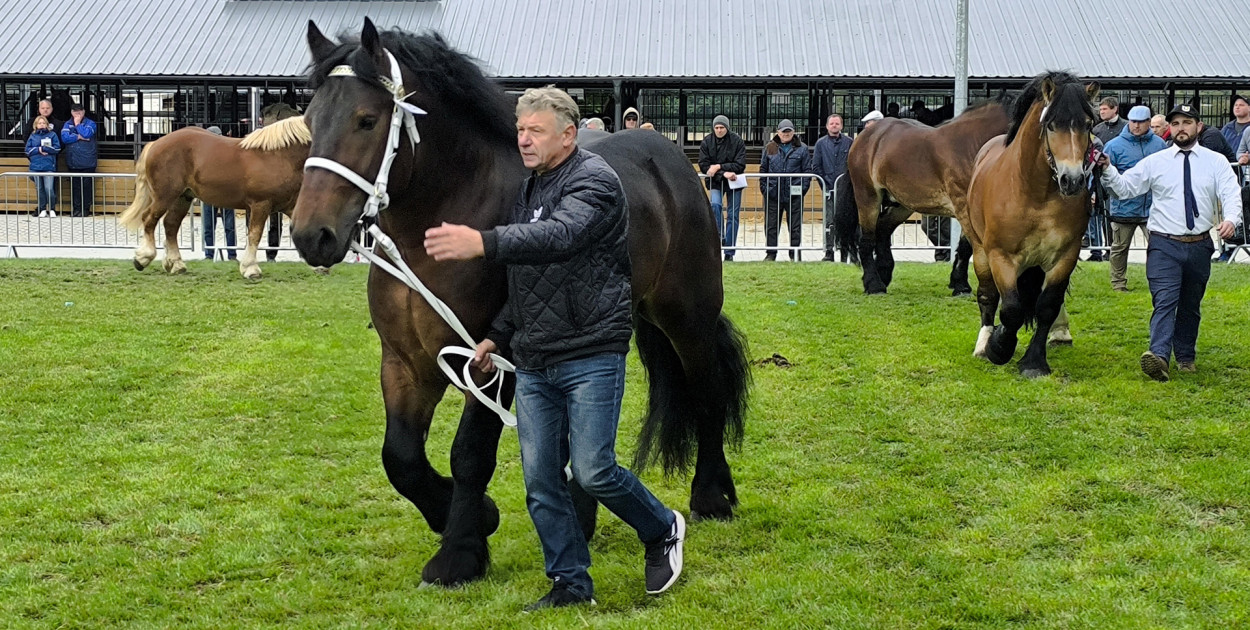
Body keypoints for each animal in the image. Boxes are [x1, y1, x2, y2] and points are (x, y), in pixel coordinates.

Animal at [290, 20, 750, 590]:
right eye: (309, 120)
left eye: (366, 119)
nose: (311, 236)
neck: (434, 230)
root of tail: (670, 160)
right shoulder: (406, 362)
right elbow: (400, 457)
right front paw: (472, 518)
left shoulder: (491, 361)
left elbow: (469, 453)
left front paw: (459, 553)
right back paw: (585, 512)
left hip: (687, 317)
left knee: (706, 389)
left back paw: (711, 494)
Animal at [960, 73, 1100, 380]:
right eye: (1052, 124)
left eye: (1087, 124)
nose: (1072, 180)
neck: (1036, 194)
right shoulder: (1001, 256)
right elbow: (1011, 308)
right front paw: (999, 347)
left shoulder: (1065, 257)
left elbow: (1047, 306)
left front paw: (1034, 362)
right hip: (980, 251)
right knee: (988, 295)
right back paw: (983, 343)